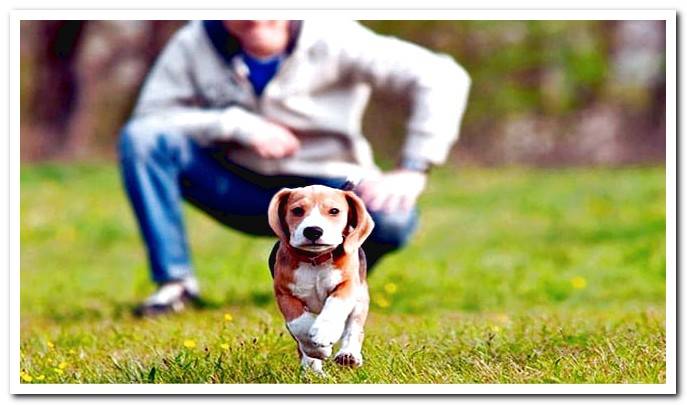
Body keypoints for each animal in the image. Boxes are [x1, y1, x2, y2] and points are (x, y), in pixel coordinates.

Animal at [268, 184, 376, 372]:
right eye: (297, 210)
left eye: (334, 211)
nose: (313, 231)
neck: (315, 260)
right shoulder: (284, 294)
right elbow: (299, 323)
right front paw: (317, 350)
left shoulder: (347, 285)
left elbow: (335, 305)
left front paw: (324, 331)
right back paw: (312, 369)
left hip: (360, 300)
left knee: (354, 328)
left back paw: (348, 355)